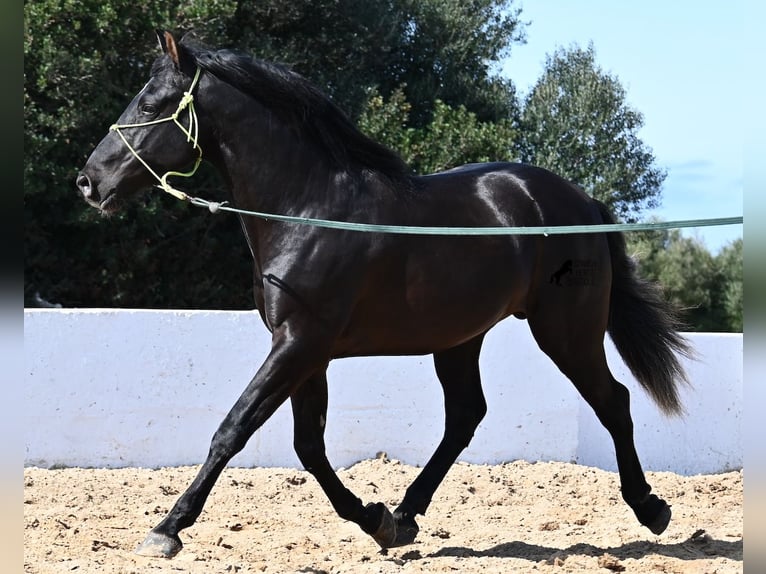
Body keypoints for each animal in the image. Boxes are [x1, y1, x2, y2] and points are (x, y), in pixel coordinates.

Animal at [75, 30, 692, 560]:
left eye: (151, 105)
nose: (88, 182)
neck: (308, 209)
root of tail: (581, 204)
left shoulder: (298, 343)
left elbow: (234, 429)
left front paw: (167, 529)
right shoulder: (307, 352)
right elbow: (308, 445)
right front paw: (376, 521)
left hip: (566, 330)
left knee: (612, 401)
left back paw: (651, 508)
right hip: (460, 337)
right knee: (465, 416)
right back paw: (406, 514)